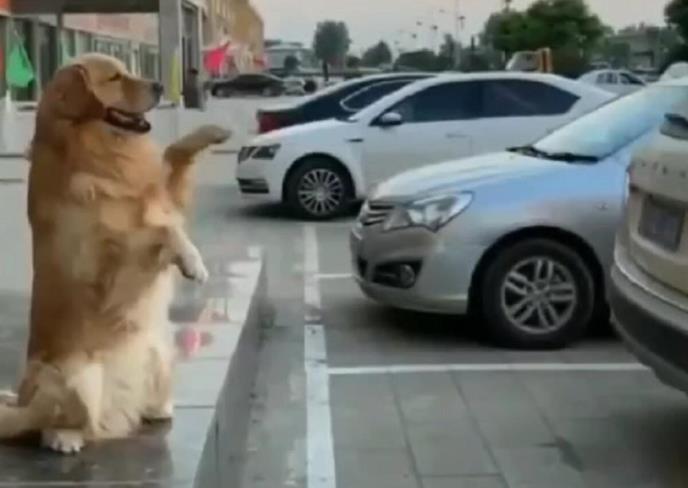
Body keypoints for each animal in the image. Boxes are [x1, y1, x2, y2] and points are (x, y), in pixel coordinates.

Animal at [0, 53, 230, 454]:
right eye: (114, 77)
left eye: (128, 69)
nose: (159, 85)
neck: (98, 153)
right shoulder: (108, 269)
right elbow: (161, 231)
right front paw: (192, 262)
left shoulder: (165, 200)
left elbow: (175, 157)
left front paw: (210, 132)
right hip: (73, 377)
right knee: (42, 423)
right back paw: (63, 436)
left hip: (160, 350)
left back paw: (155, 409)